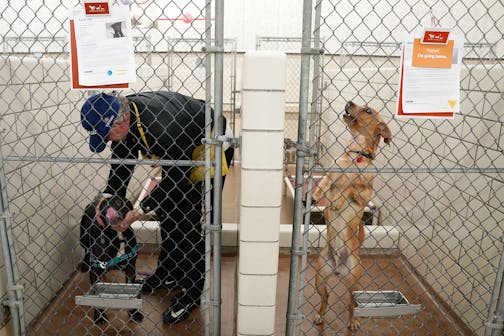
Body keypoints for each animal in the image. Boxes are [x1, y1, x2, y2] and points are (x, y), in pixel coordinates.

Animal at [310, 101, 392, 330]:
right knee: (326, 297)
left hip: (353, 283)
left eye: (368, 110)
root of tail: (338, 268)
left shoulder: (365, 194)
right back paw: (320, 315)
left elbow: (351, 188)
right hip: (320, 278)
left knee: (350, 304)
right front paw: (317, 196)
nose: (348, 102)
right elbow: (325, 184)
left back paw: (353, 320)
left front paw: (340, 199)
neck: (357, 154)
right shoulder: (331, 175)